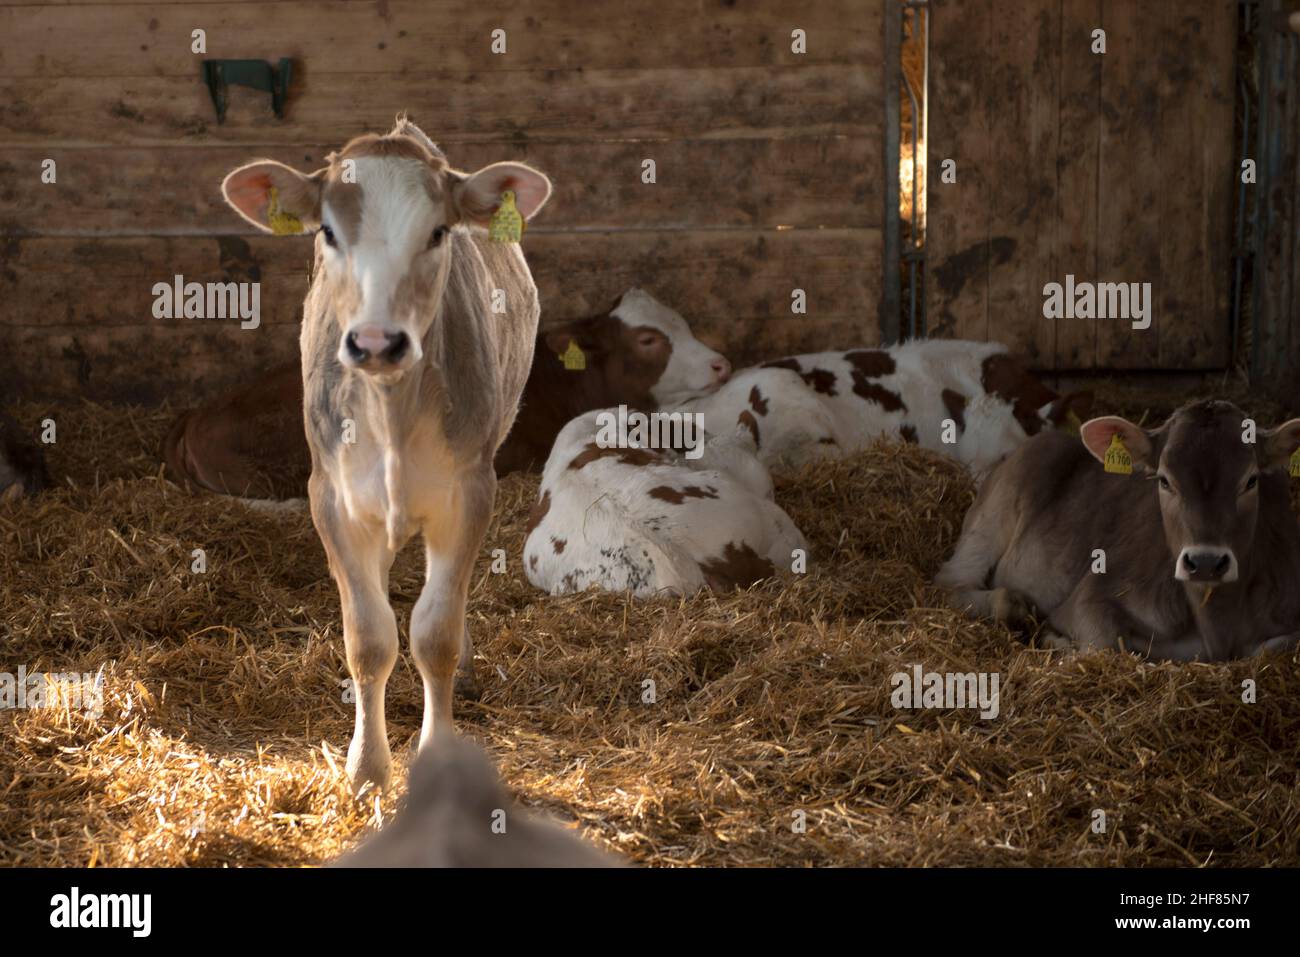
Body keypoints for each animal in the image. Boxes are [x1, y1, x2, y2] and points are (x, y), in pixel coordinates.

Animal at [220, 117, 551, 790]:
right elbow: (369, 639)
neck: (391, 408)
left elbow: (435, 635)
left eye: (439, 231)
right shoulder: (331, 497)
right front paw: (367, 769)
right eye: (327, 231)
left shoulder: (470, 490)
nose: (377, 342)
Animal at [935, 395, 1300, 657]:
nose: (1206, 562)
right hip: (995, 512)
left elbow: (1277, 647)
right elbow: (1105, 644)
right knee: (952, 583)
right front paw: (1055, 640)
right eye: (1164, 480)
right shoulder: (1090, 597)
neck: (1216, 624)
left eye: (1251, 480)